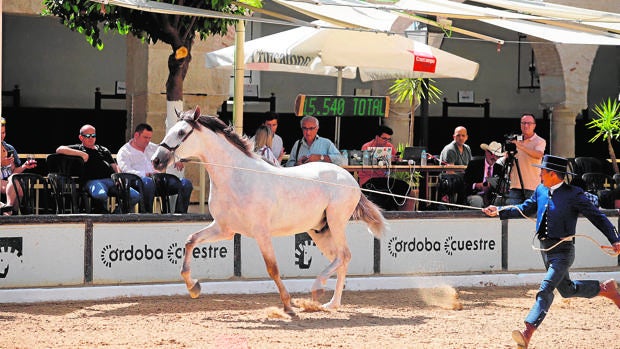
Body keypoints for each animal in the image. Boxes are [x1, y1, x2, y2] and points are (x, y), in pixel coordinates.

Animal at [150, 105, 386, 312]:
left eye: (181, 132)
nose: (156, 161)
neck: (236, 177)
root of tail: (349, 178)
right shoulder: (225, 229)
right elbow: (190, 241)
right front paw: (194, 287)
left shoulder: (261, 232)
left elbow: (272, 268)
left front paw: (289, 306)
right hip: (319, 230)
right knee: (339, 258)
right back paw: (332, 303)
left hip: (336, 222)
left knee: (344, 255)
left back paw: (318, 288)